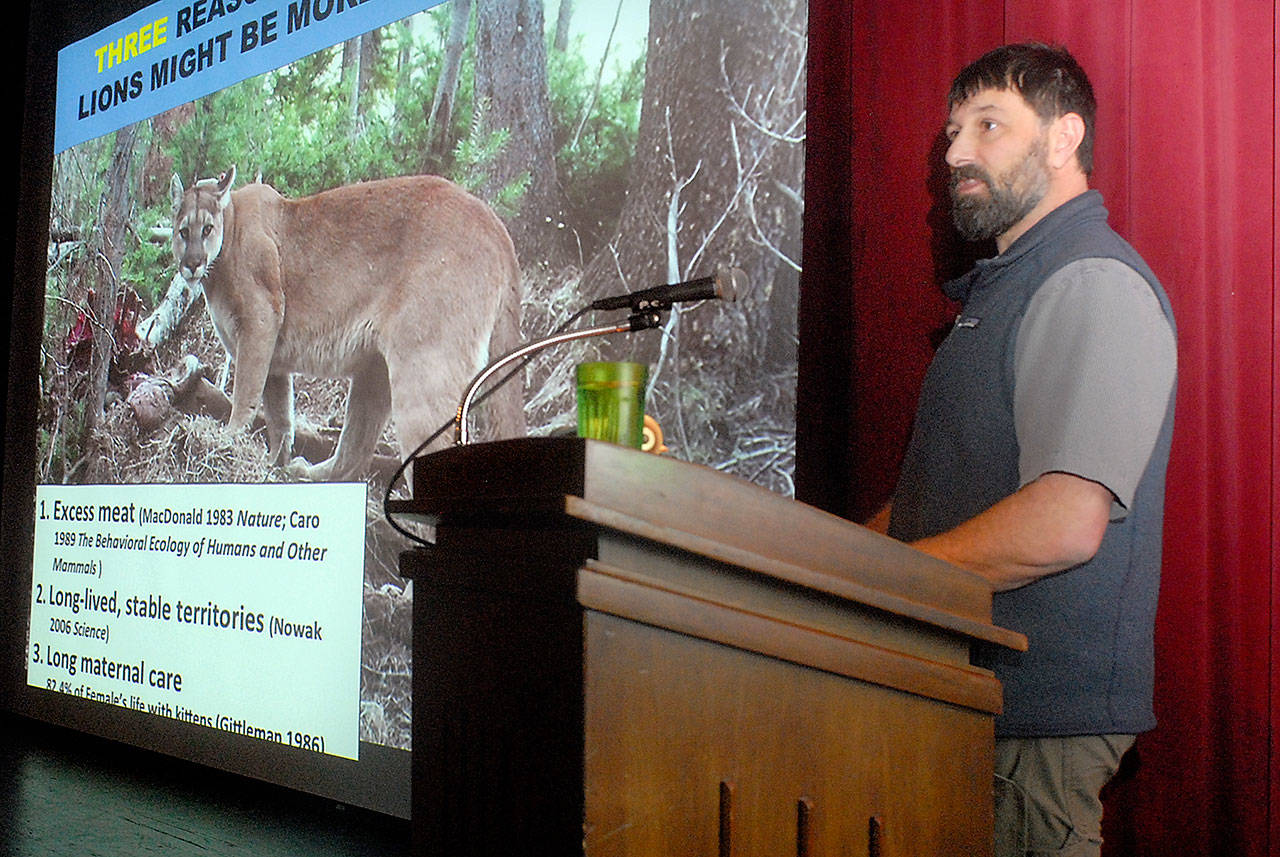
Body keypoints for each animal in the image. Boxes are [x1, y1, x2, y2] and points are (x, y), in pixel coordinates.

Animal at [171, 165, 524, 480]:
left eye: (207, 229)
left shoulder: (260, 322)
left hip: (422, 370)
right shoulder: (273, 359)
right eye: (183, 232)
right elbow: (280, 413)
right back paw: (309, 472)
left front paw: (224, 439)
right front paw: (274, 462)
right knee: (355, 452)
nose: (191, 264)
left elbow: (246, 392)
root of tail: (497, 225)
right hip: (375, 369)